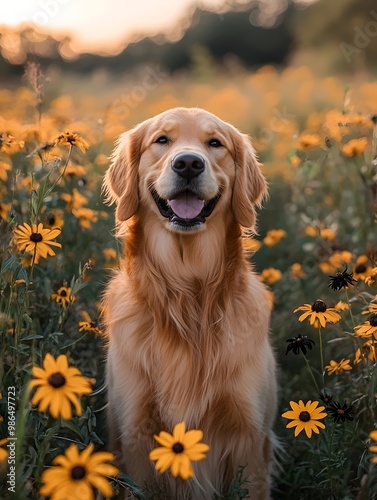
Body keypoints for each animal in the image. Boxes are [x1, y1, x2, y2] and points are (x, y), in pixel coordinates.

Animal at [102, 107, 276, 498]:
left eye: (215, 143)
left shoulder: (250, 438)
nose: (188, 164)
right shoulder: (136, 437)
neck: (188, 294)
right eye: (161, 140)